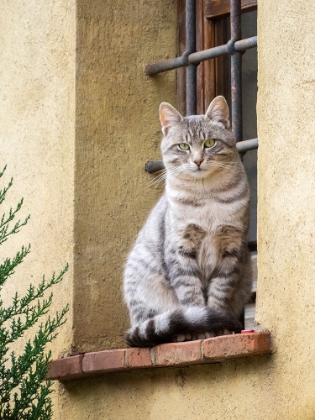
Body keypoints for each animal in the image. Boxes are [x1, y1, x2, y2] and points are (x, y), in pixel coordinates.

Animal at [123, 96, 252, 348]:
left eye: (210, 143)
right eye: (183, 146)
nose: (198, 160)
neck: (207, 196)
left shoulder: (231, 248)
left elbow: (219, 292)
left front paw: (218, 327)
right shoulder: (180, 248)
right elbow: (191, 296)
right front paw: (200, 330)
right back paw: (179, 332)